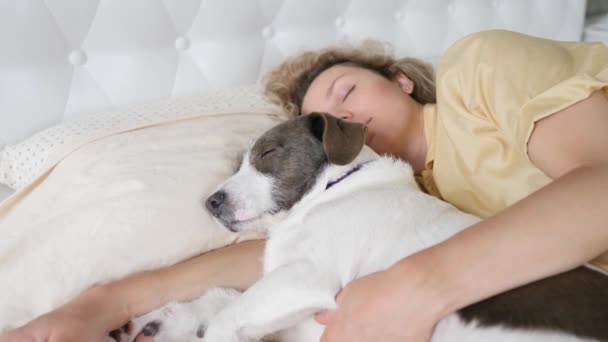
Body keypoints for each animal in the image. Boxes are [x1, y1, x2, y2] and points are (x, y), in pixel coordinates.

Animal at [114, 113, 608, 342]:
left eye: (268, 153)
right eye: (237, 161)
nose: (210, 202)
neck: (331, 192)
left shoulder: (308, 278)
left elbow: (230, 313)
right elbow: (226, 299)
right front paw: (164, 319)